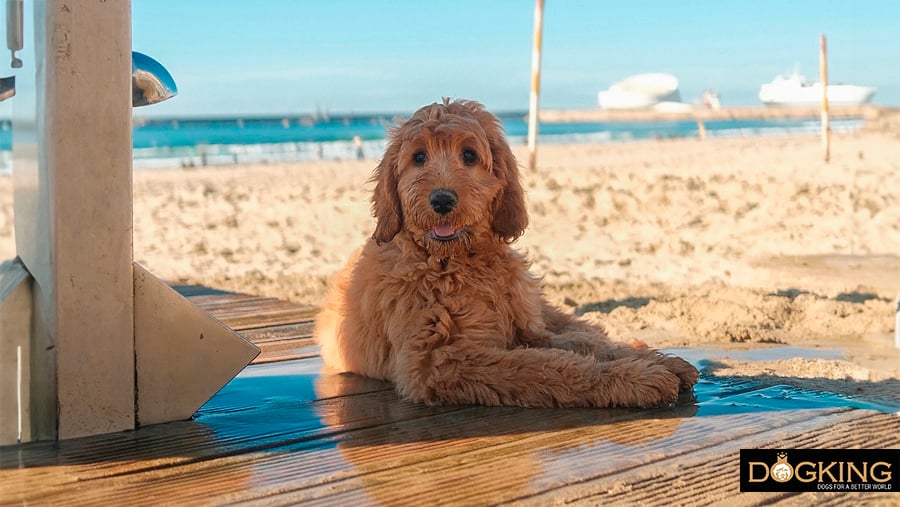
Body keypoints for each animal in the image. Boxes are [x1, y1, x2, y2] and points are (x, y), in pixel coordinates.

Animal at [316, 99, 704, 408]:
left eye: (469, 155)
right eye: (419, 157)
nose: (441, 200)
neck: (457, 261)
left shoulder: (526, 330)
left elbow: (578, 346)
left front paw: (650, 363)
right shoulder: (438, 361)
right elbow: (543, 367)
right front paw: (637, 378)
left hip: (536, 307)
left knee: (586, 331)